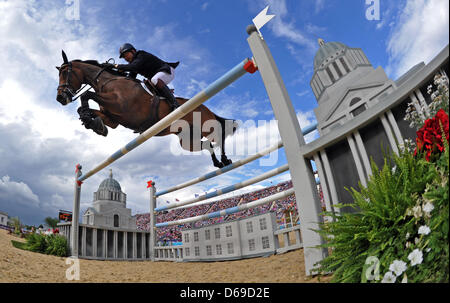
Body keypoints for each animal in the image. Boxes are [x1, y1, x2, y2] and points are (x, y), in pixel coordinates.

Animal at [55, 50, 236, 169]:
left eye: (64, 73)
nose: (60, 98)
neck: (107, 82)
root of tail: (204, 106)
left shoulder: (121, 107)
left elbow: (87, 95)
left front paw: (90, 120)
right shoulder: (113, 118)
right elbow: (91, 111)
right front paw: (92, 123)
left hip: (206, 125)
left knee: (219, 135)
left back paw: (225, 160)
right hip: (187, 140)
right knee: (208, 145)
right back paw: (218, 163)